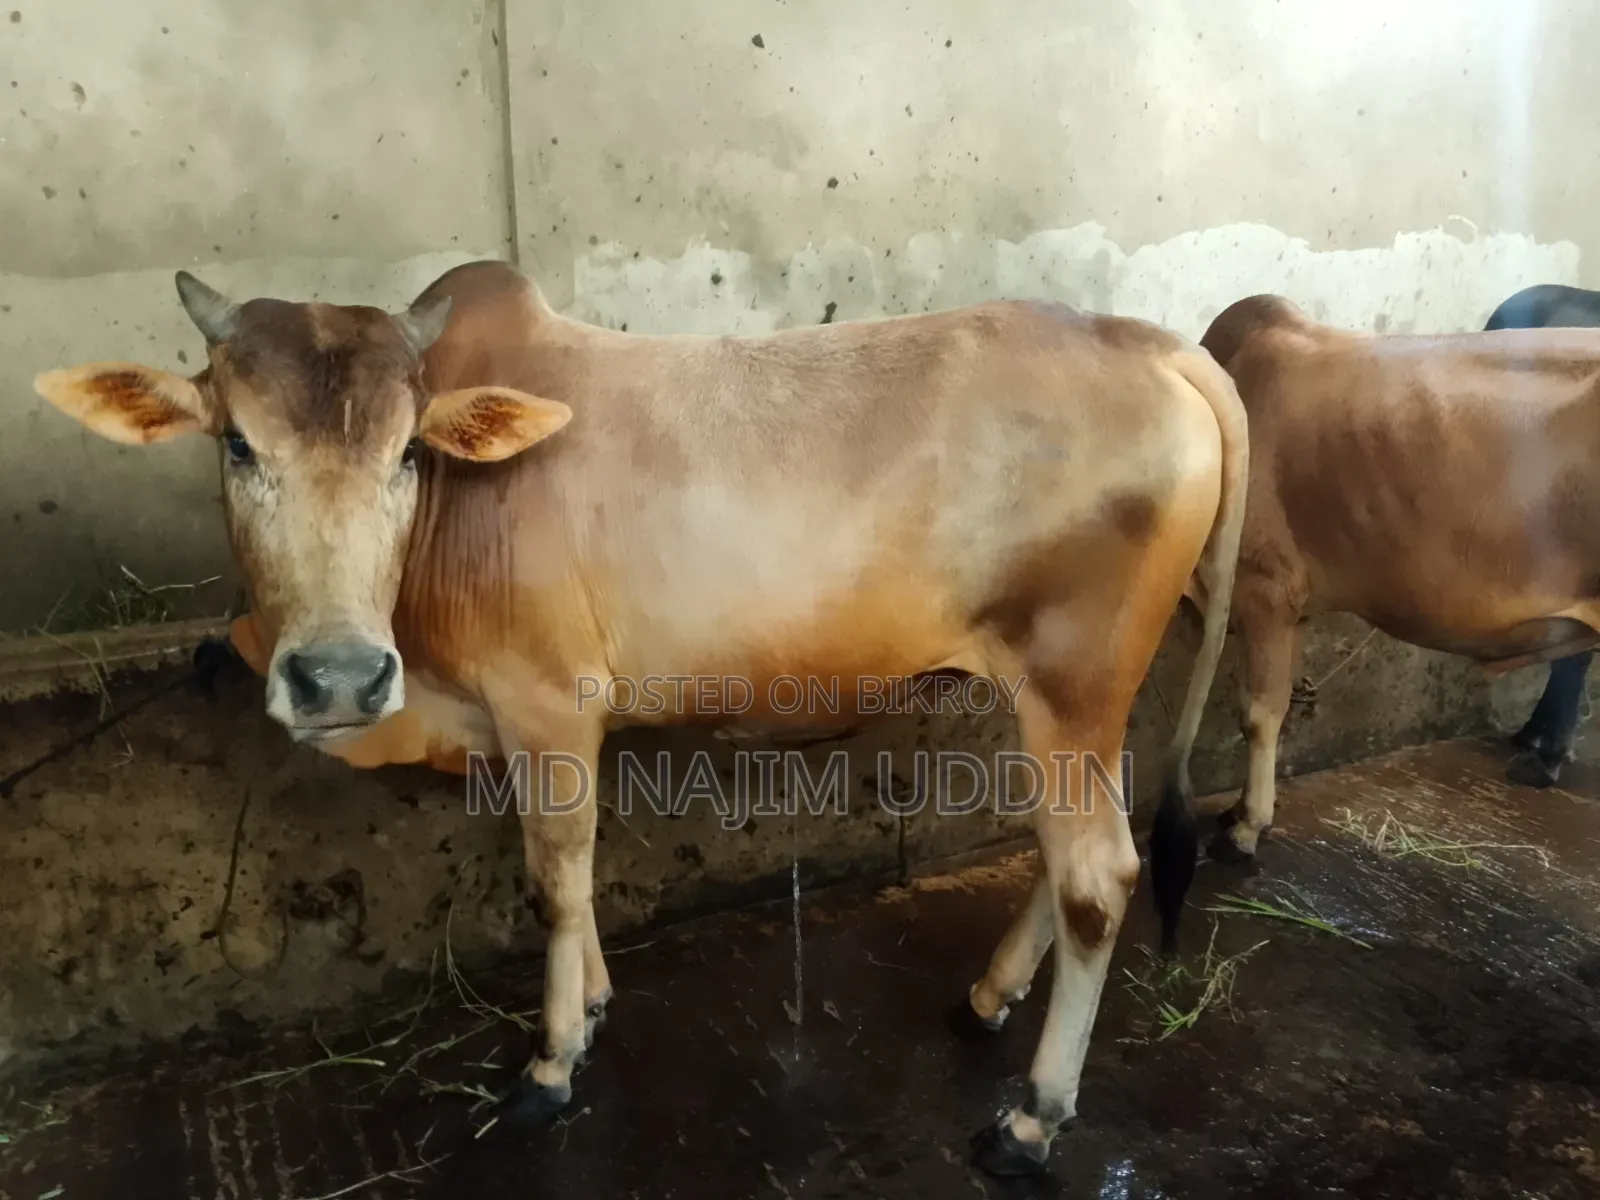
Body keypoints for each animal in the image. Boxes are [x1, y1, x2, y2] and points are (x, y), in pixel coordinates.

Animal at [35, 260, 1247, 1178]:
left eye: (407, 451)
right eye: (236, 444)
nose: (338, 677)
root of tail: (1150, 342)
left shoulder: (548, 704)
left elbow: (555, 875)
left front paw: (551, 1061)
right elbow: (578, 880)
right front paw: (595, 1004)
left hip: (1071, 685)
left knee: (1099, 878)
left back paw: (1033, 1117)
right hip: (1076, 704)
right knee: (1071, 857)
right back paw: (990, 997)